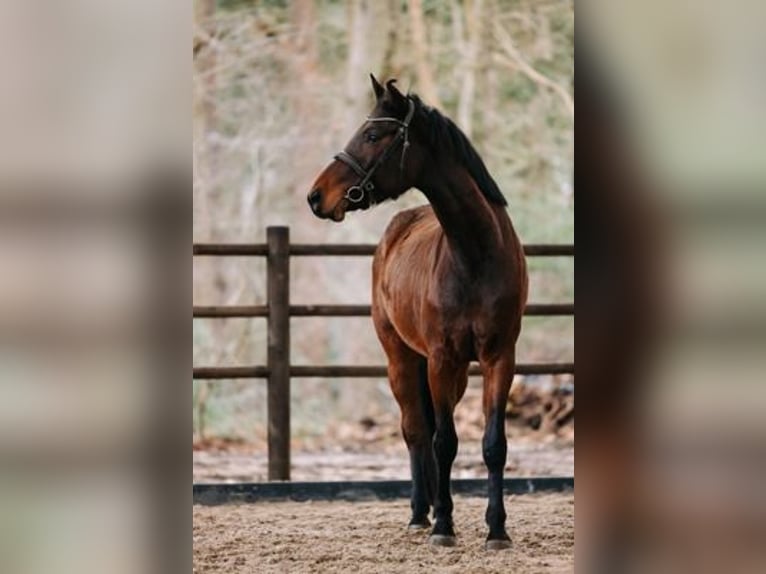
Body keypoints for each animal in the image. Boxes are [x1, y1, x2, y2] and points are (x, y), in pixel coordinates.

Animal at [306, 74, 528, 552]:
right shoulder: (441, 360)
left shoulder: (499, 358)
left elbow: (493, 444)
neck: (476, 254)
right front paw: (444, 524)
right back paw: (419, 514)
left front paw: (497, 529)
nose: (316, 196)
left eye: (373, 135)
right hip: (402, 361)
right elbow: (444, 442)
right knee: (415, 431)